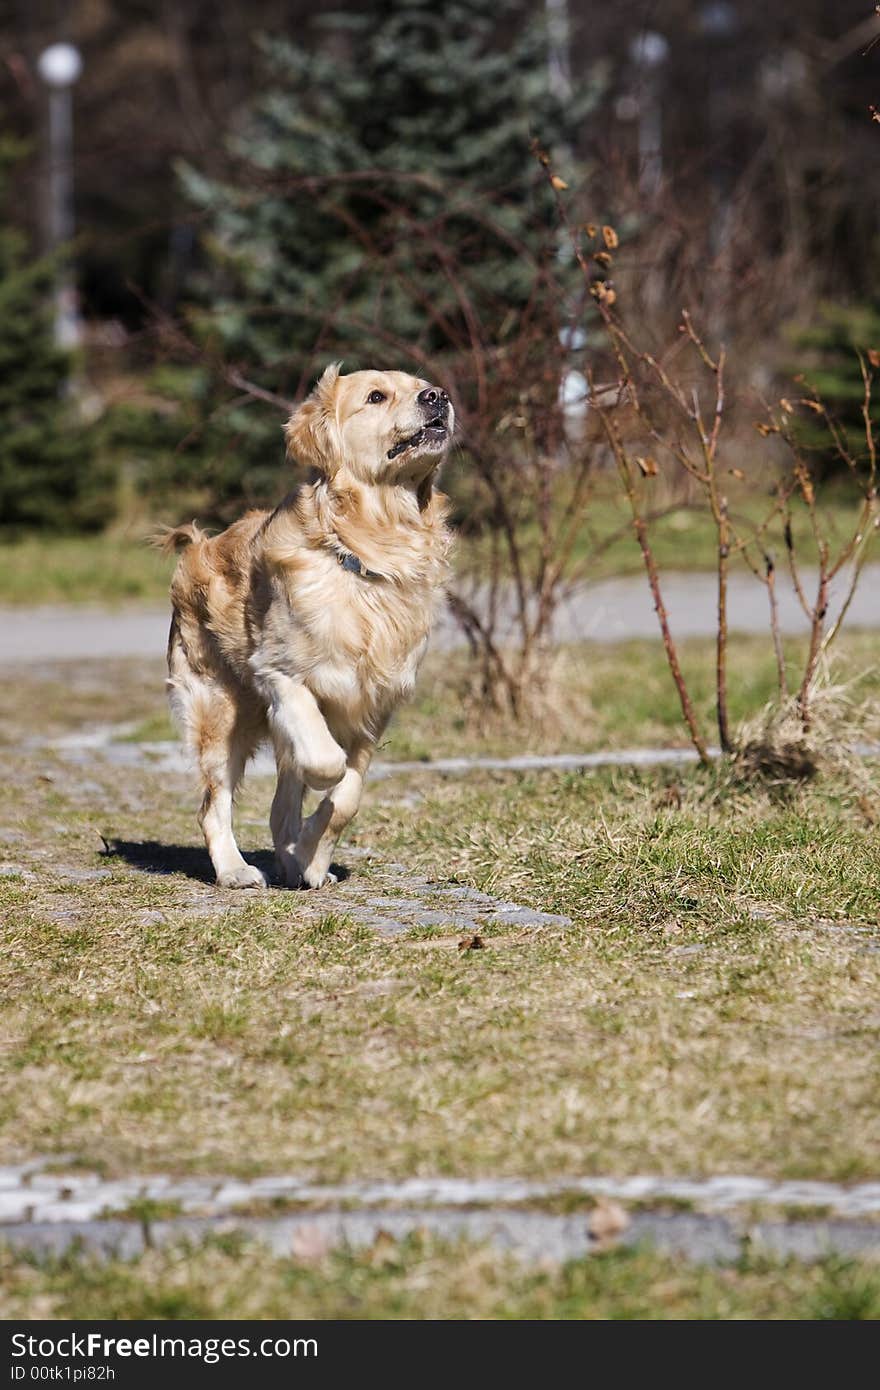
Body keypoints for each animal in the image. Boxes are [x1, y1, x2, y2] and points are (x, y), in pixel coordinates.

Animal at [158, 366, 455, 889]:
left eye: (422, 384)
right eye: (375, 397)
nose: (437, 396)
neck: (372, 553)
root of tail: (198, 544)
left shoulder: (376, 703)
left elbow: (347, 797)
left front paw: (314, 859)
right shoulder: (282, 676)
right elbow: (326, 763)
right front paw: (315, 811)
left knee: (280, 809)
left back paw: (294, 861)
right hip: (220, 710)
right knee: (214, 804)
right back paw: (235, 870)